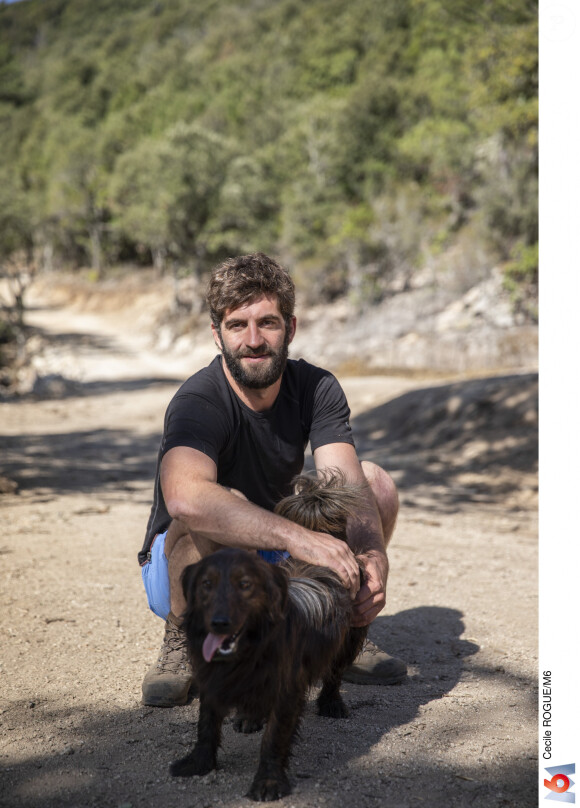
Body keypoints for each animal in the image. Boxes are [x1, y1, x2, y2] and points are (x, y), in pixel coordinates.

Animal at [171, 474, 368, 800]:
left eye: (245, 585)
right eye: (206, 585)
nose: (219, 622)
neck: (248, 650)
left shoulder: (286, 691)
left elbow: (274, 738)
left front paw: (268, 781)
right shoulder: (211, 680)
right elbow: (207, 725)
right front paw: (199, 762)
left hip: (349, 638)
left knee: (334, 673)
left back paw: (331, 703)